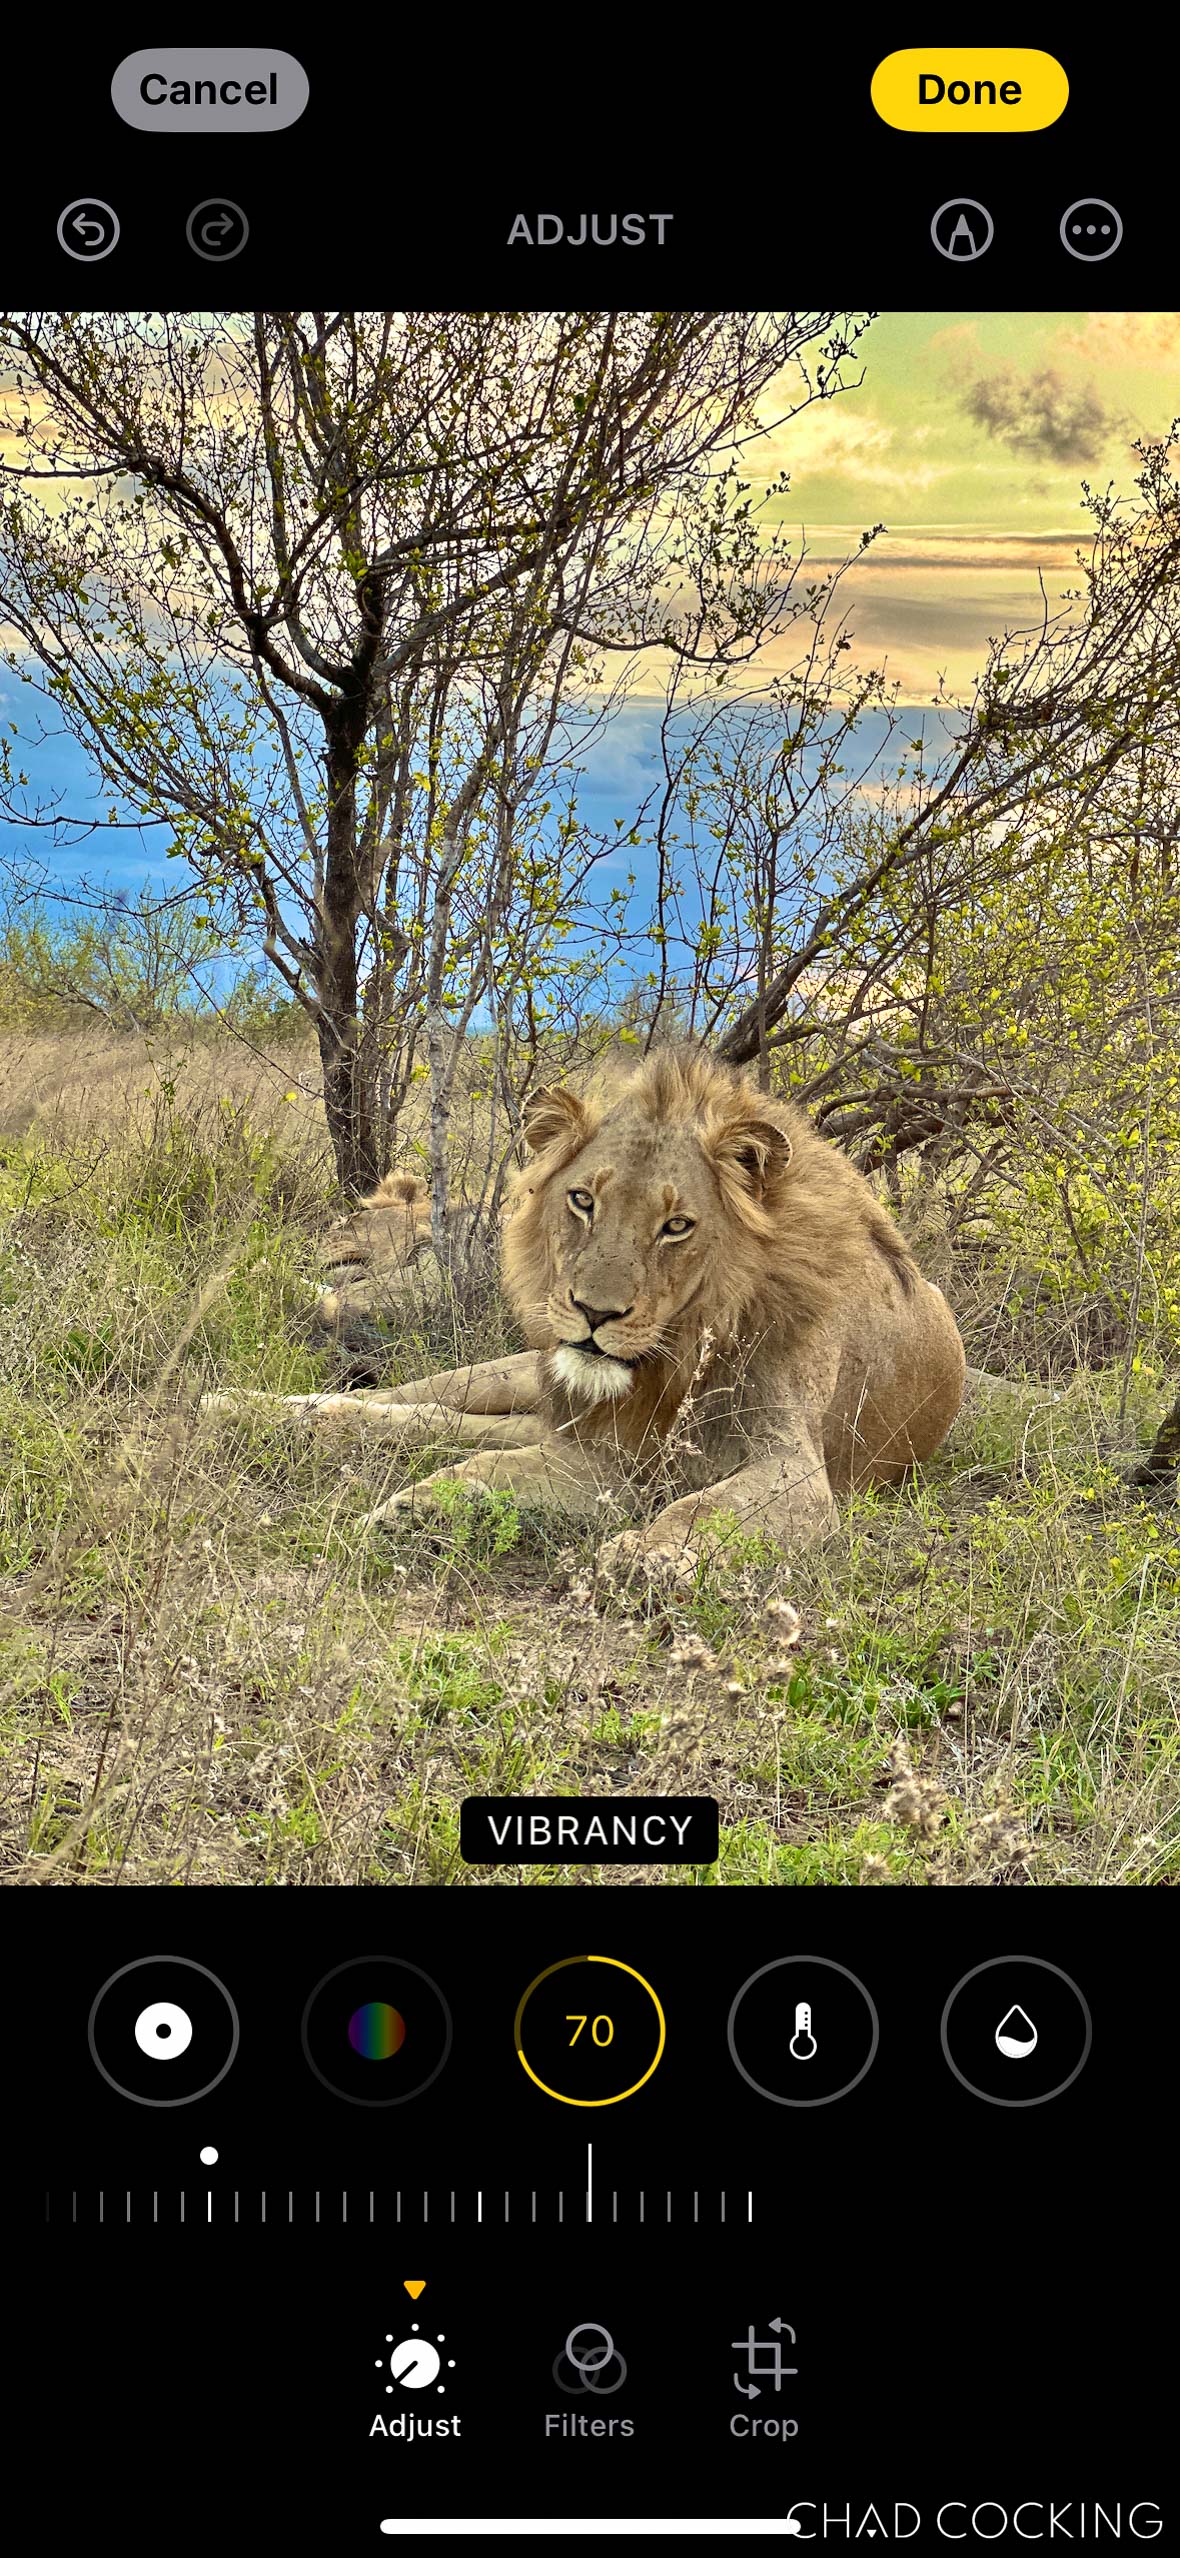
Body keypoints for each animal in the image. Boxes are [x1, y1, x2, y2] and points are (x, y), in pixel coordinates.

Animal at [341, 1048, 966, 1568]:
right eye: (582, 1200)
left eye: (676, 1226)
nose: (595, 1313)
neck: (681, 1354)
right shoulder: (611, 1454)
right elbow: (486, 1466)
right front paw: (408, 1508)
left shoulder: (796, 1474)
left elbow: (700, 1508)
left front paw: (644, 1555)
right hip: (527, 1375)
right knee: (431, 1405)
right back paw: (321, 1412)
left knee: (477, 1429)